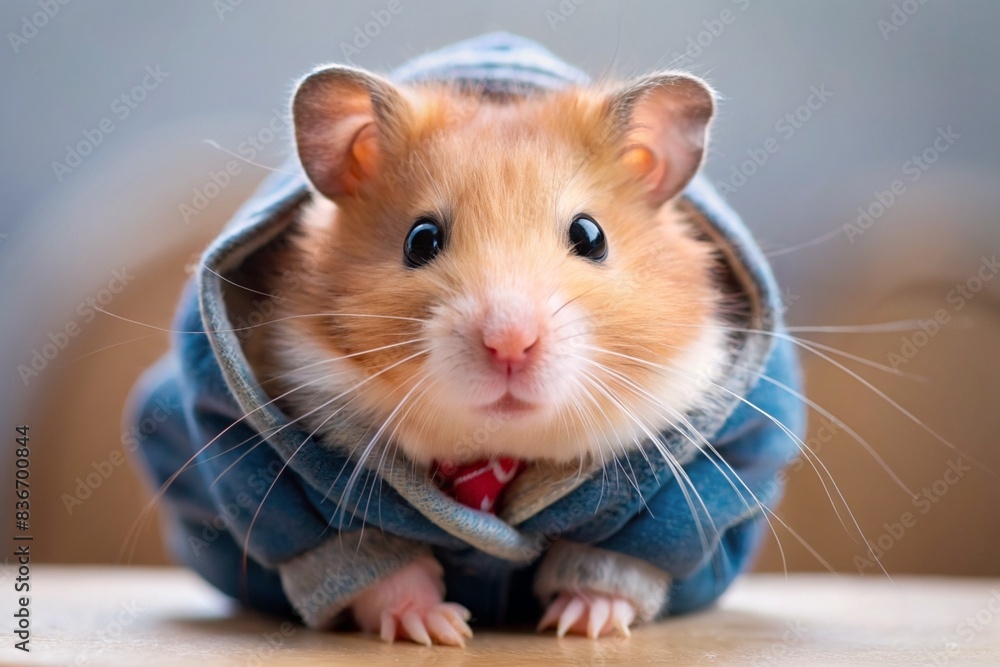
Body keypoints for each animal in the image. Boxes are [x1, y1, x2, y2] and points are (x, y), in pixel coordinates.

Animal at [241, 64, 730, 645]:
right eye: (420, 239)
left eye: (591, 236)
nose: (510, 343)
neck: (495, 450)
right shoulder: (312, 489)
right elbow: (376, 562)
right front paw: (440, 630)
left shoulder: (662, 499)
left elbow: (621, 556)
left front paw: (580, 625)